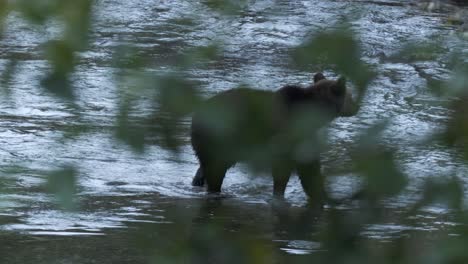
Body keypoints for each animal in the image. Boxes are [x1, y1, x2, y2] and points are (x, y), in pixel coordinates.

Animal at [190, 73, 354, 201]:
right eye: (350, 96)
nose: (356, 106)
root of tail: (196, 115)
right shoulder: (286, 132)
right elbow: (284, 168)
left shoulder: (304, 137)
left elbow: (308, 167)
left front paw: (321, 195)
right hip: (221, 138)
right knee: (215, 169)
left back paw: (198, 181)